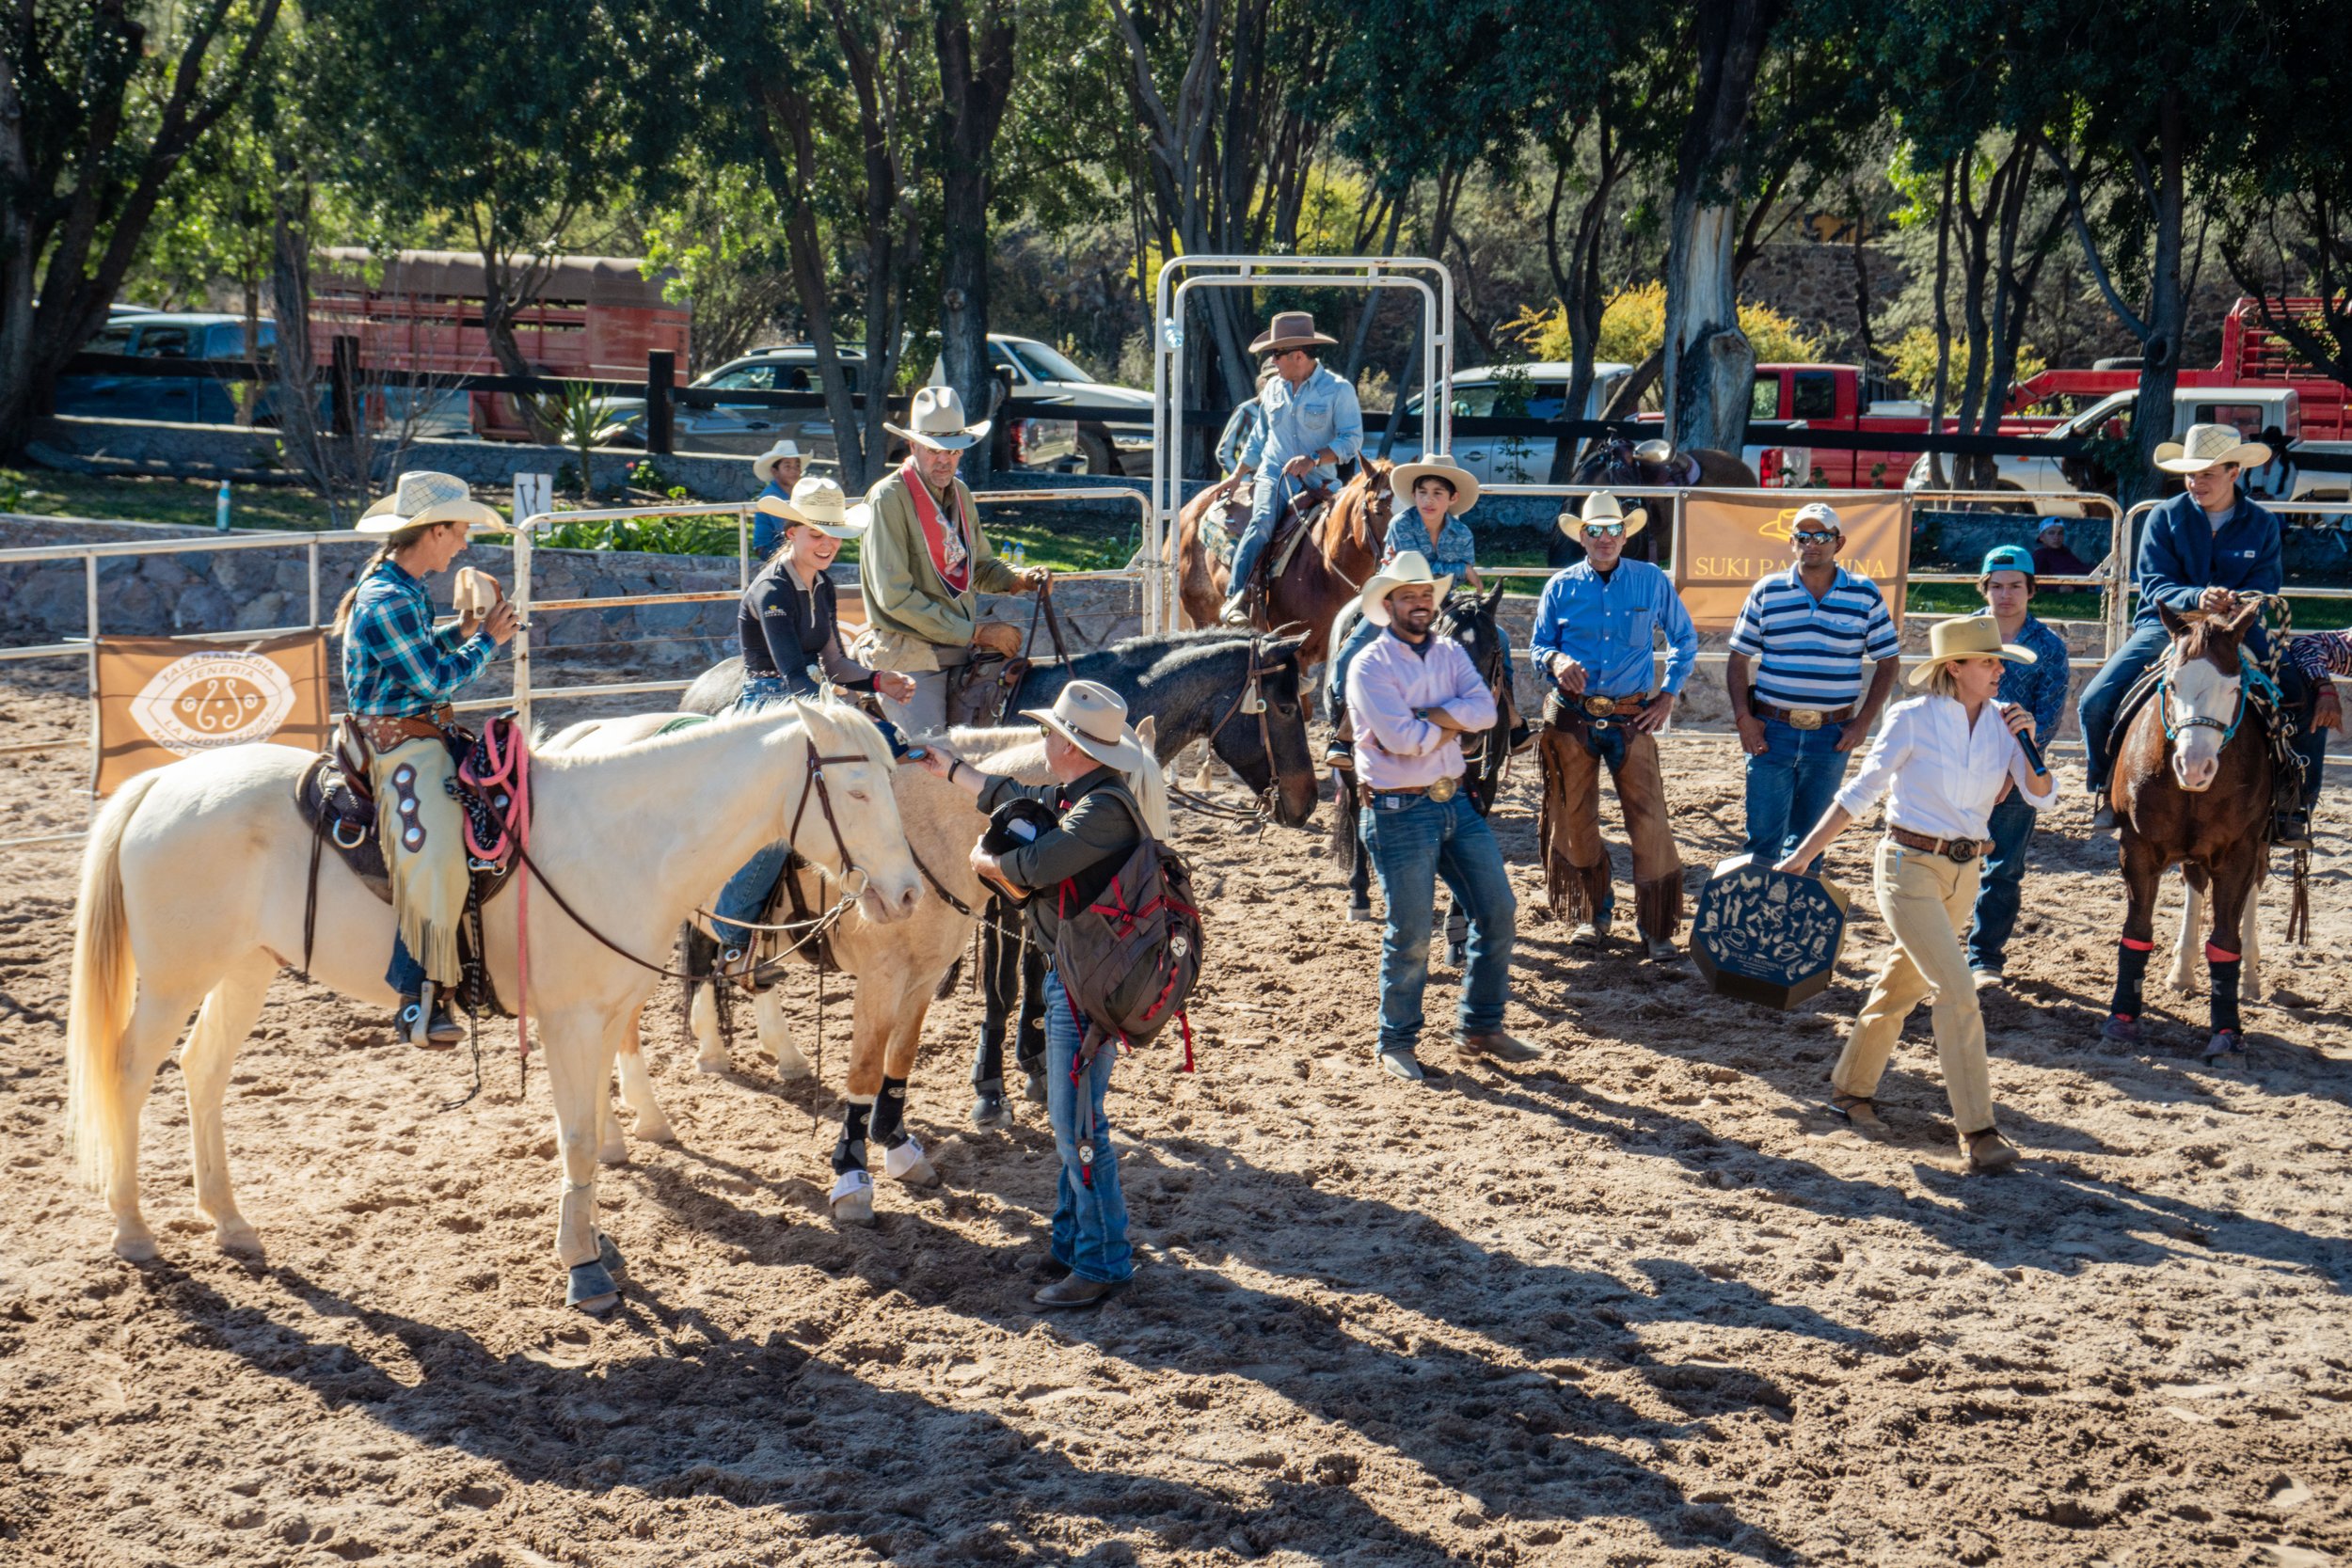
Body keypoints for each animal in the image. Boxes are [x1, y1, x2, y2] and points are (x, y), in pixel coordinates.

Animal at [59, 700, 913, 1316]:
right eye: (857, 789)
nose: (906, 893)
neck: (623, 834)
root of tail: (157, 785)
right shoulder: (571, 1019)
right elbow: (576, 1138)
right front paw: (585, 1269)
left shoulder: (605, 1013)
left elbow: (589, 1127)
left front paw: (595, 1235)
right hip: (176, 977)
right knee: (129, 1072)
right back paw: (132, 1228)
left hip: (243, 969)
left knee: (202, 1070)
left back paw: (230, 1222)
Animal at [2098, 606, 2277, 1062]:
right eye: (2174, 682)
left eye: (2234, 687)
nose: (2194, 766)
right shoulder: (2137, 848)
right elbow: (2137, 932)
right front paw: (2122, 1019)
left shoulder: (2238, 852)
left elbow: (2226, 940)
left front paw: (2228, 1032)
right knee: (2196, 884)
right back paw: (2181, 971)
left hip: (2261, 845)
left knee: (2253, 890)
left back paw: (2251, 978)